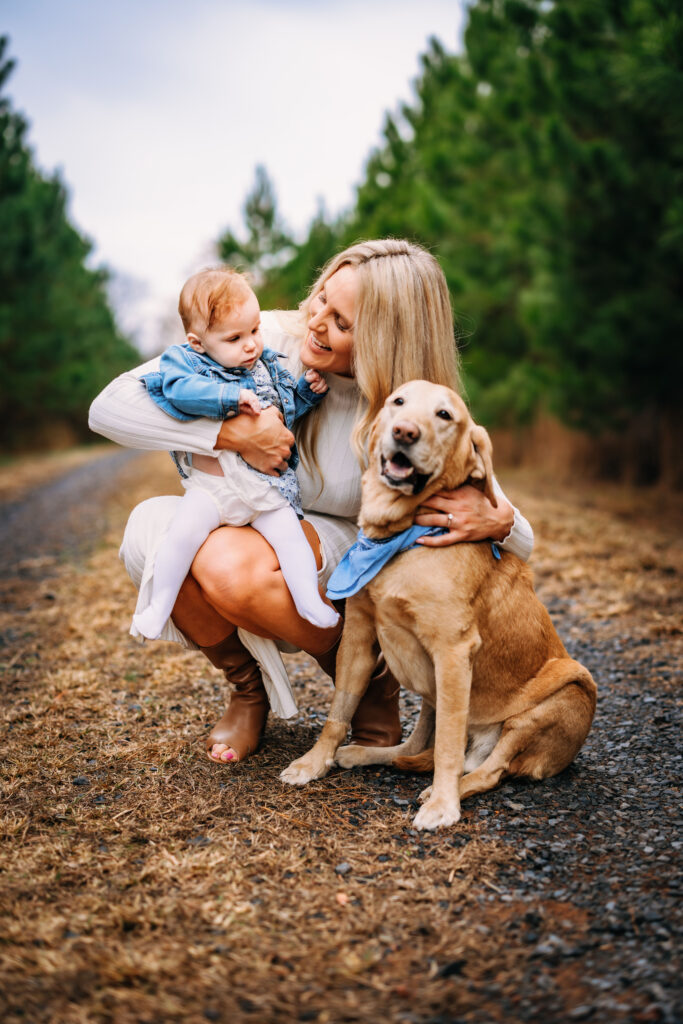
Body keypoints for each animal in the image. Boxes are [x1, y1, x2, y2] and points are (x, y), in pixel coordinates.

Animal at [280, 380, 593, 827]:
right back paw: (365, 753)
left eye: (445, 415)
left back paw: (446, 790)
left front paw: (444, 805)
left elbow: (446, 741)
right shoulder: (358, 637)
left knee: (487, 768)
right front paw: (314, 762)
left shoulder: (452, 651)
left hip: (568, 687)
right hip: (432, 690)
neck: (399, 538)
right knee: (415, 749)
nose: (405, 432)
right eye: (398, 403)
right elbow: (338, 712)